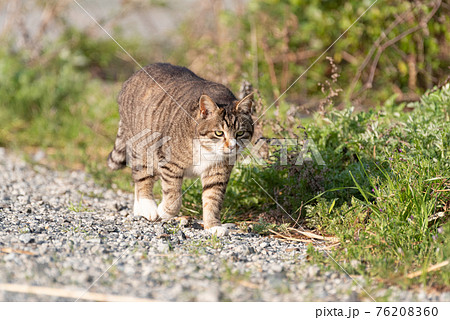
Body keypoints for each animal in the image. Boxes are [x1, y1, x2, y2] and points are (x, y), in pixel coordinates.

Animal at [106, 63, 253, 232]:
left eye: (240, 133)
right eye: (219, 133)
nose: (233, 146)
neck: (207, 150)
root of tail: (136, 73)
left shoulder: (218, 173)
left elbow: (212, 199)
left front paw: (213, 226)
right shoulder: (170, 164)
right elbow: (173, 194)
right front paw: (164, 211)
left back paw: (139, 209)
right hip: (143, 147)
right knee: (142, 177)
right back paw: (148, 207)